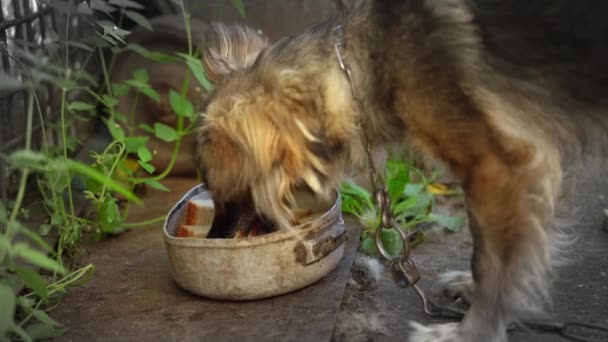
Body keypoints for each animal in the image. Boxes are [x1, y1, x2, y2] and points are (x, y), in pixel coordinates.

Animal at [196, 1, 608, 340]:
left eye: (223, 192)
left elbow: (491, 260)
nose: (214, 240)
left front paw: (473, 331)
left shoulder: (496, 167)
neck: (365, 63)